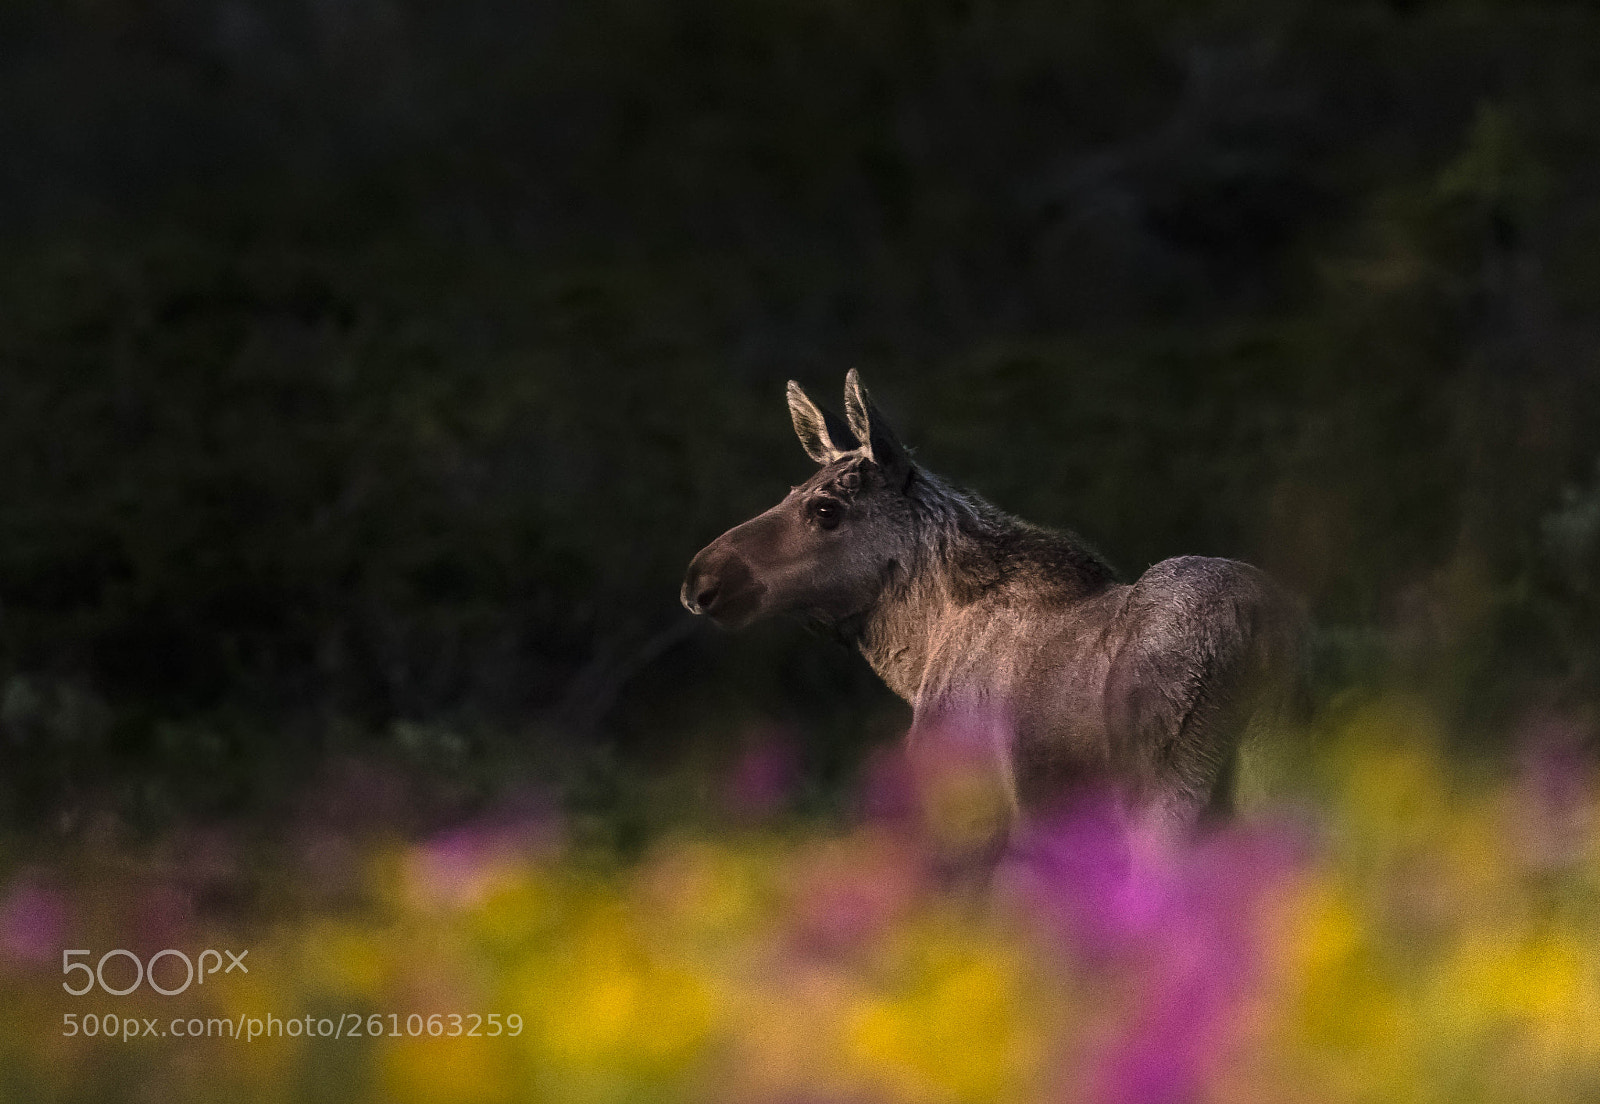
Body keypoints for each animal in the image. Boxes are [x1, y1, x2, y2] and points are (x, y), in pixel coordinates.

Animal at [681, 370, 1303, 877]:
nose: (699, 579)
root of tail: (1256, 627)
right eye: (792, 492)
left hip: (1165, 786)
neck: (918, 654)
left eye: (826, 508)